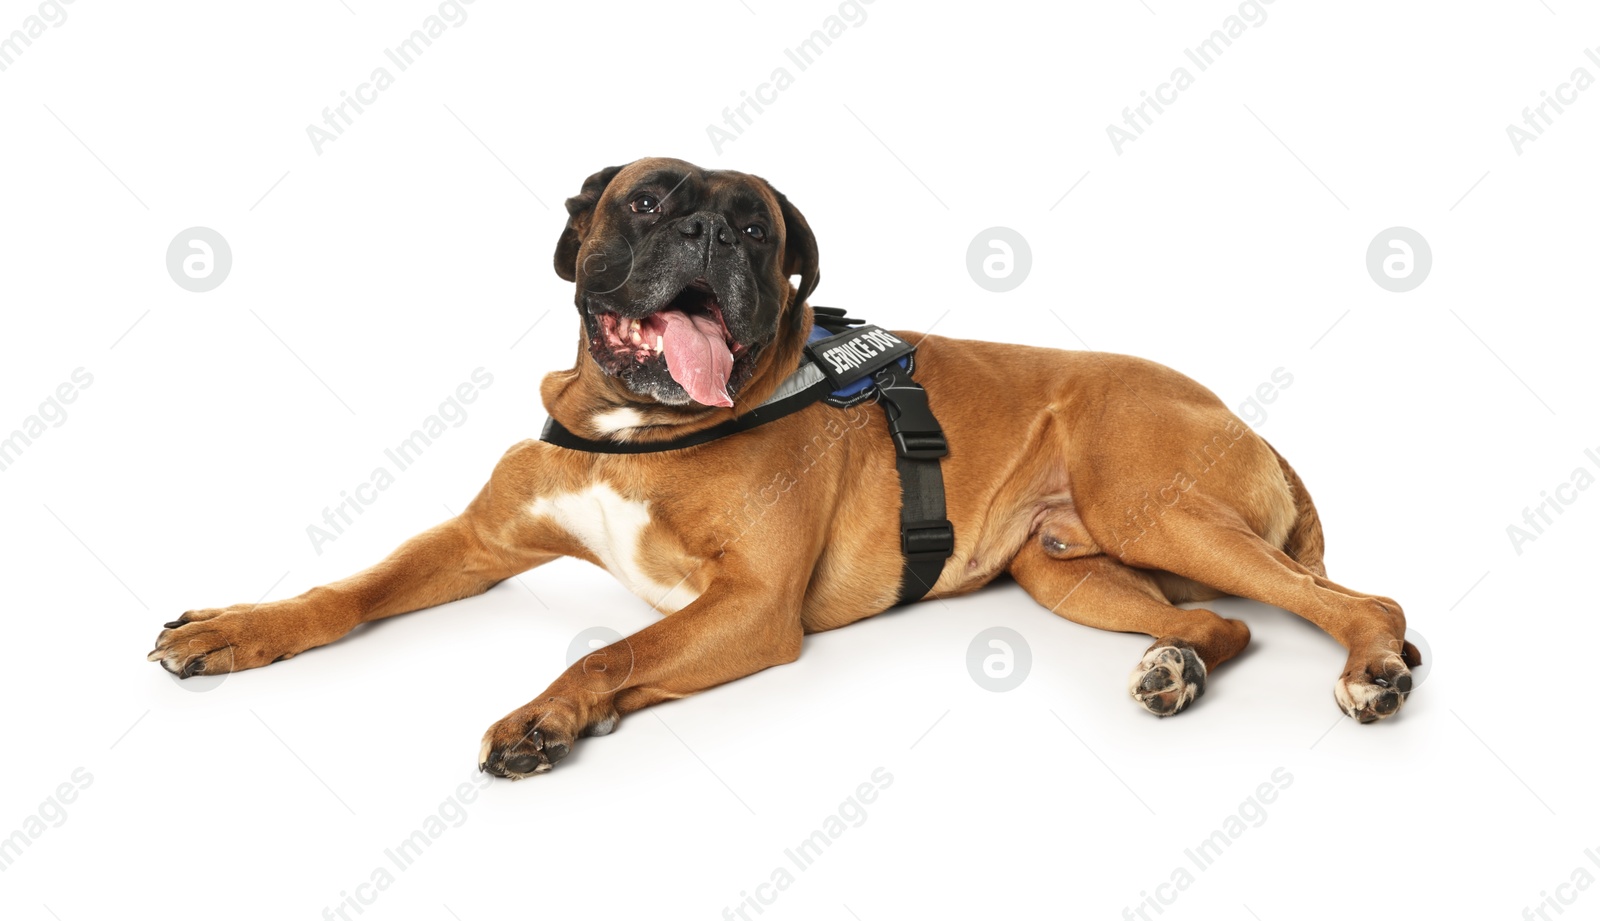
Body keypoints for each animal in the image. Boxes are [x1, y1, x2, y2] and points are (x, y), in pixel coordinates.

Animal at [152, 156, 1427, 777]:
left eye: (762, 229)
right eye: (647, 201)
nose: (713, 234)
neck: (641, 426)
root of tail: (1244, 417)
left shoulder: (752, 608)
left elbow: (611, 650)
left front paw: (547, 718)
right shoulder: (474, 543)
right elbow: (349, 590)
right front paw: (238, 628)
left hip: (1153, 508)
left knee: (1359, 600)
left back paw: (1371, 671)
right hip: (1071, 569)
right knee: (1224, 624)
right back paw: (1176, 668)